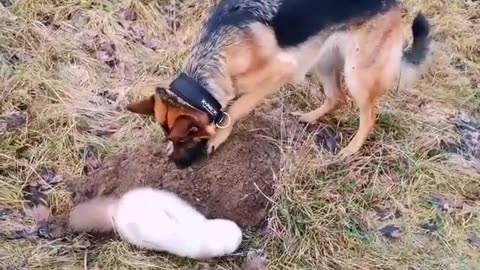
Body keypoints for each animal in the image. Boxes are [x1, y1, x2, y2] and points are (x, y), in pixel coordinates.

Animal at [125, 0, 434, 169]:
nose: (175, 166)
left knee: (369, 116)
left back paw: (351, 149)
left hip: (356, 72)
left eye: (183, 140)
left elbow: (235, 109)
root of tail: (393, 4)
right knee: (336, 98)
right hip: (322, 60)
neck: (214, 53)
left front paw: (219, 136)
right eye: (170, 140)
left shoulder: (280, 72)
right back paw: (310, 118)